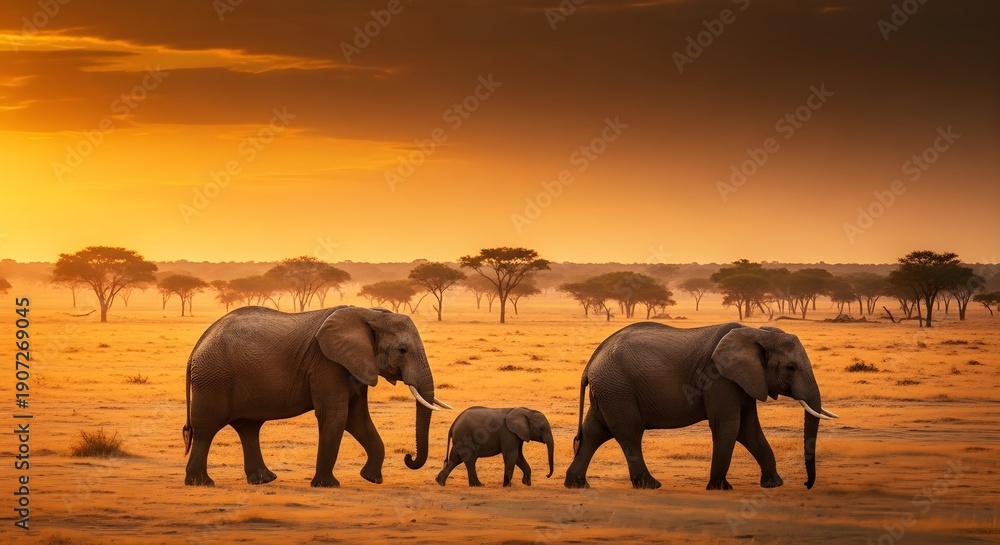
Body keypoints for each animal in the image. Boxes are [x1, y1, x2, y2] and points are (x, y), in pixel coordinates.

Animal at [182, 305, 451, 487]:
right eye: (402, 350)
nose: (408, 456)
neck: (370, 313)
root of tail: (197, 345)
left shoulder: (354, 365)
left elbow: (357, 419)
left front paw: (371, 479)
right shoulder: (326, 363)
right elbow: (336, 415)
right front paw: (327, 485)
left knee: (248, 427)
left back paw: (264, 480)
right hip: (214, 378)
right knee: (206, 428)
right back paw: (201, 482)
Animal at [564, 322, 838, 490]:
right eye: (790, 368)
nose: (806, 485)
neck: (757, 332)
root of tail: (591, 362)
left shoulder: (745, 379)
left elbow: (748, 430)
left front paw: (774, 484)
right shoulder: (718, 377)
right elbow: (729, 426)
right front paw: (720, 488)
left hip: (609, 391)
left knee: (594, 432)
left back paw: (577, 484)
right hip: (618, 389)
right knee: (629, 433)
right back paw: (651, 485)